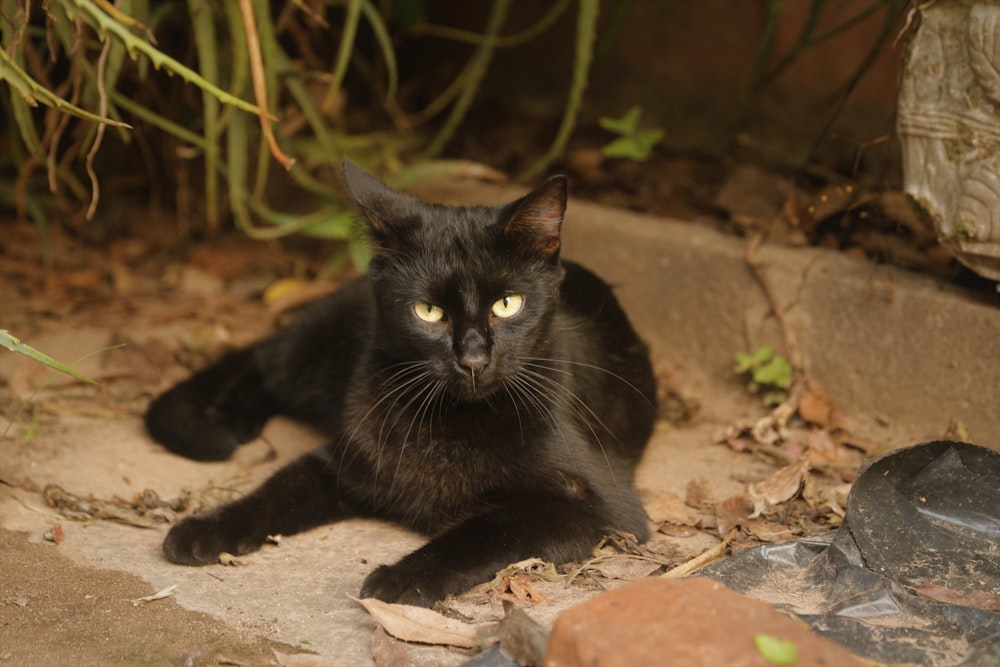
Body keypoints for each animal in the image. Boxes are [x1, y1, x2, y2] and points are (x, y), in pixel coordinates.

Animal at [143, 160, 656, 604]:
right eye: (427, 311)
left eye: (508, 304)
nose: (473, 358)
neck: (452, 425)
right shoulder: (346, 460)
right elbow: (275, 492)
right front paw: (206, 528)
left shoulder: (597, 509)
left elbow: (486, 530)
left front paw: (403, 577)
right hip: (318, 342)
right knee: (263, 360)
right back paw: (227, 418)